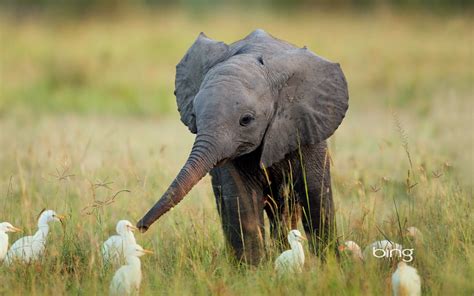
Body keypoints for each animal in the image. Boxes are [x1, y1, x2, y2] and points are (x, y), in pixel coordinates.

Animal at [137, 28, 348, 264]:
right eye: (194, 116)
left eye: (246, 120)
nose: (140, 226)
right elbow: (242, 200)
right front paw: (253, 270)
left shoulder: (306, 125)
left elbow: (316, 196)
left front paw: (330, 265)